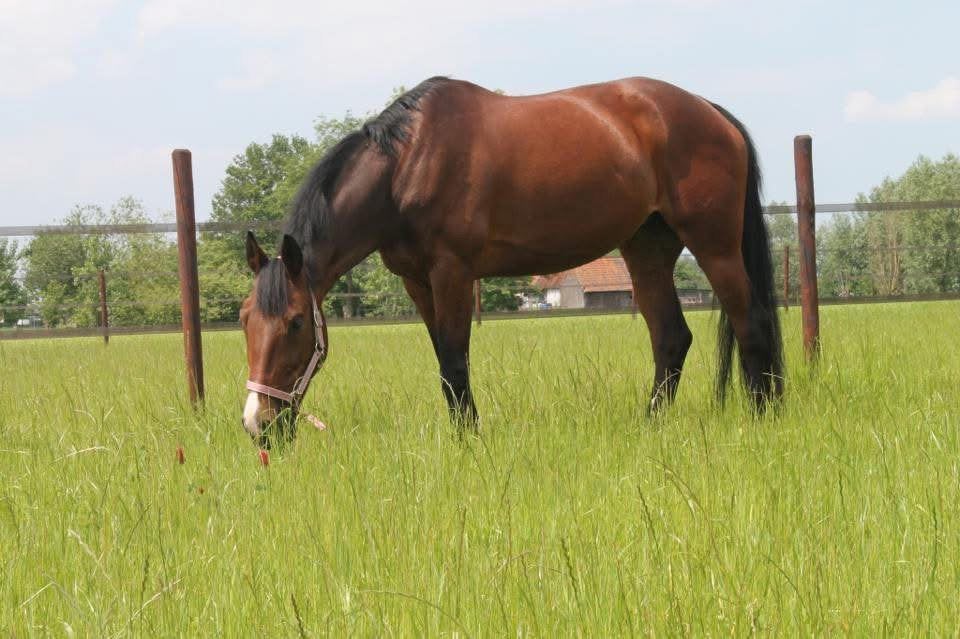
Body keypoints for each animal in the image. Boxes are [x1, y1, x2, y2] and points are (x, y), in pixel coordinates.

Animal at [239, 76, 783, 440]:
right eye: (245, 319)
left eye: (295, 322)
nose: (257, 424)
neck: (407, 165)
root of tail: (710, 111)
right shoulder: (418, 281)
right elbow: (443, 361)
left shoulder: (452, 273)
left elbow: (454, 363)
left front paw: (470, 441)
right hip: (646, 250)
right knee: (671, 339)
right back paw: (650, 425)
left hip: (714, 244)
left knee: (751, 323)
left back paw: (766, 419)